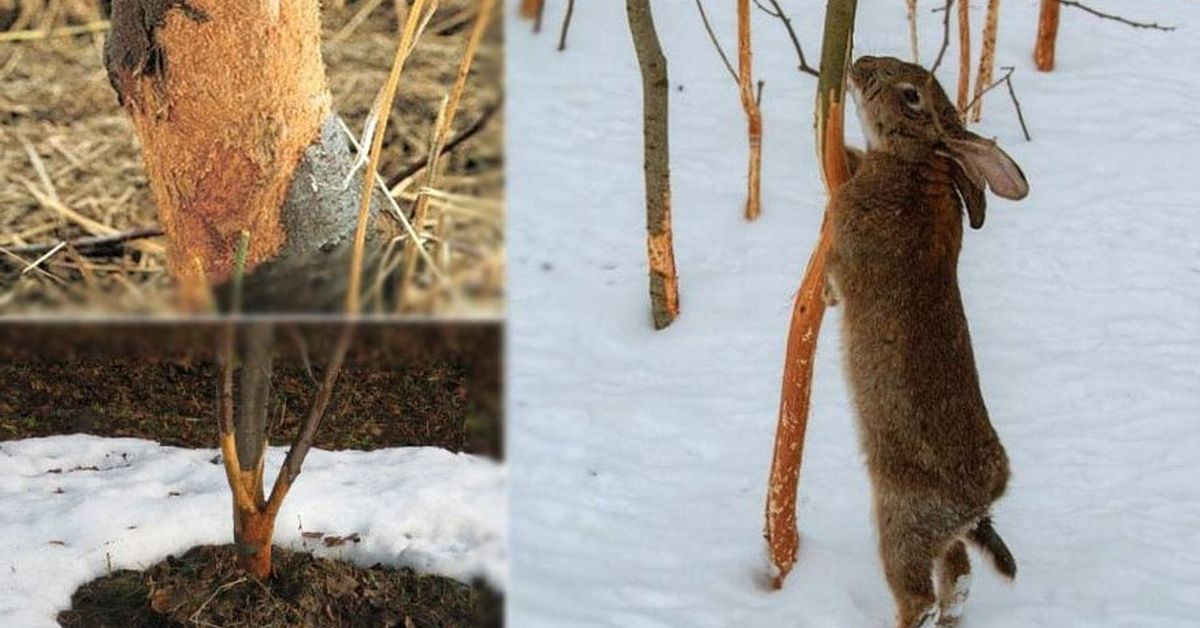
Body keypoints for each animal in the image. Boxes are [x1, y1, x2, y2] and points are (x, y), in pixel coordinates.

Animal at [825, 56, 1032, 624]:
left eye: (912, 95)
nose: (859, 64)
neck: (918, 164)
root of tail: (981, 501)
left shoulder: (845, 242)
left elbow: (832, 267)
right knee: (958, 573)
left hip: (902, 519)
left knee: (918, 593)